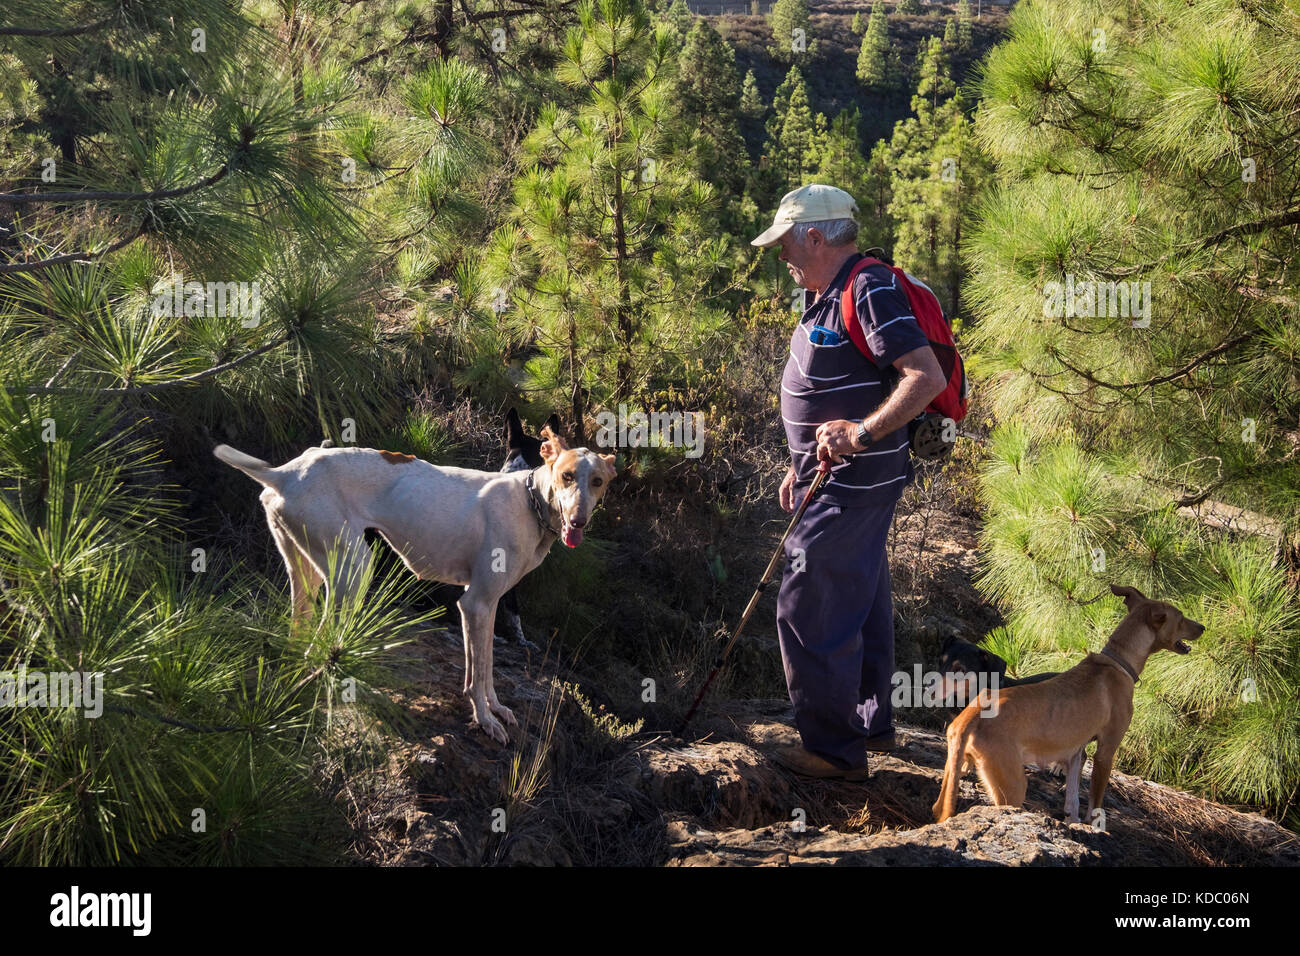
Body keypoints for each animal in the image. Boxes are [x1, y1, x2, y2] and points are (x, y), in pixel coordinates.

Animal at [935, 587, 1196, 827]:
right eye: (1182, 616)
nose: (1201, 627)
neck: (1117, 661)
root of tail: (970, 716)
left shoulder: (1074, 751)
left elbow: (1073, 797)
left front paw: (1073, 819)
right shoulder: (1106, 751)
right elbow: (1095, 802)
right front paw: (1093, 826)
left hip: (952, 776)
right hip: (1012, 786)